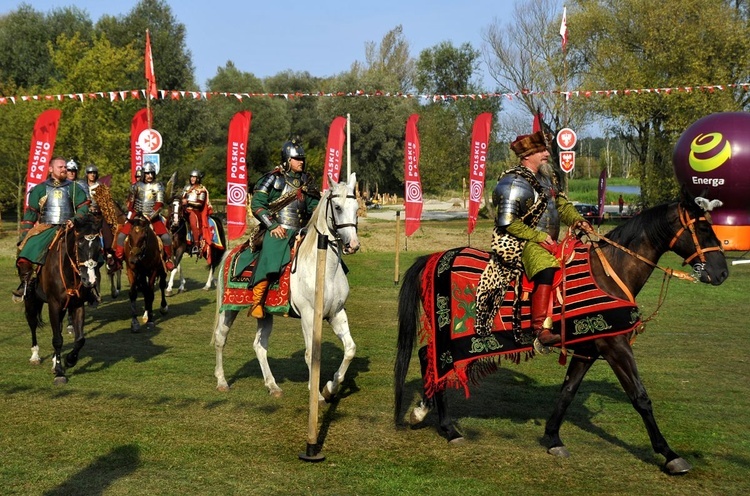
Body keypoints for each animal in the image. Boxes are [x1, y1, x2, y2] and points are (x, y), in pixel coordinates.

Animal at [25, 216, 103, 384]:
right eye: (79, 244)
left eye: (99, 247)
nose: (90, 280)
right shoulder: (54, 305)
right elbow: (57, 339)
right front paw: (60, 372)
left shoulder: (77, 305)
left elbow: (79, 339)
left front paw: (69, 360)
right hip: (31, 299)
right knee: (32, 323)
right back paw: (35, 355)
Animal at [213, 173, 362, 404]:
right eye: (337, 207)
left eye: (356, 208)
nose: (353, 245)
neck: (322, 268)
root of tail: (232, 251)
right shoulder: (309, 316)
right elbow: (311, 354)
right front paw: (316, 394)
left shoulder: (336, 313)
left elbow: (350, 349)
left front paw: (330, 387)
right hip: (229, 309)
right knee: (221, 338)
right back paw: (221, 382)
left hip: (265, 314)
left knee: (260, 346)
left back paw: (272, 385)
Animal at [396, 192, 732, 474]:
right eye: (703, 229)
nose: (722, 273)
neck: (610, 271)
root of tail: (437, 258)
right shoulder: (616, 346)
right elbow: (640, 397)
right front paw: (669, 454)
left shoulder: (588, 348)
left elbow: (568, 391)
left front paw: (553, 438)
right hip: (449, 337)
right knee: (432, 359)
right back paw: (447, 427)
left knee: (427, 357)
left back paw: (425, 413)